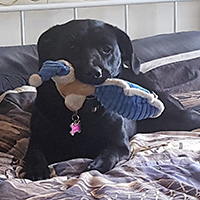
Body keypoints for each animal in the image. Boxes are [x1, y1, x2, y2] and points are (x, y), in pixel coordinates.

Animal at [23, 19, 139, 180]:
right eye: (71, 46)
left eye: (107, 49)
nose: (93, 72)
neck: (83, 110)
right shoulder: (37, 141)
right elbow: (34, 154)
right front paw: (37, 170)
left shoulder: (120, 145)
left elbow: (110, 152)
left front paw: (98, 164)